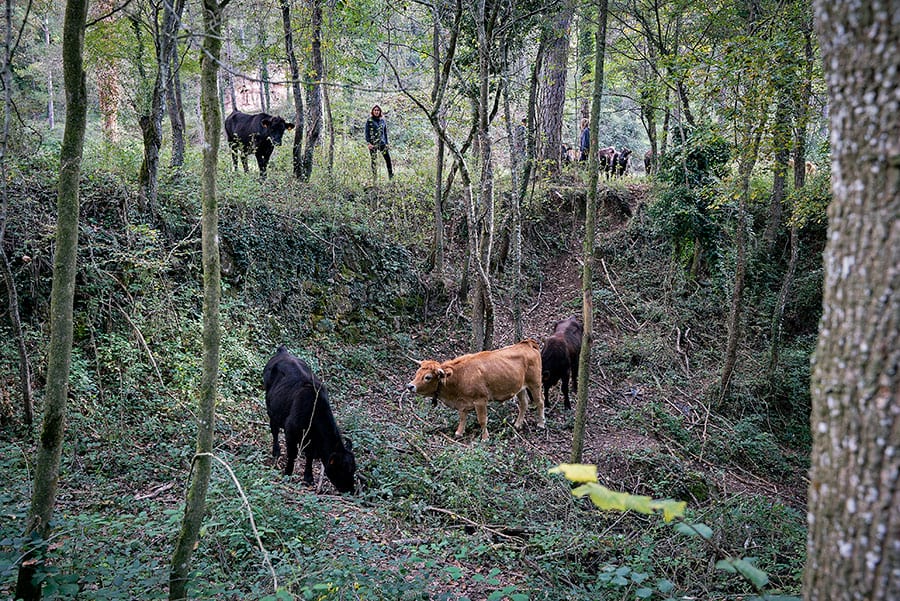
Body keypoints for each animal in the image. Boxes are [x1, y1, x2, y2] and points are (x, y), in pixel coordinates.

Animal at [264, 342, 356, 492]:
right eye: (342, 470)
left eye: (353, 469)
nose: (351, 489)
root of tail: (283, 352)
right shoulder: (290, 432)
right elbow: (292, 453)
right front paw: (288, 473)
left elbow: (309, 456)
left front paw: (308, 477)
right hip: (271, 407)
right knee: (274, 429)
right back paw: (276, 451)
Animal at [406, 338, 544, 440]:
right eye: (417, 373)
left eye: (427, 377)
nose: (410, 386)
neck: (460, 376)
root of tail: (527, 343)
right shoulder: (462, 402)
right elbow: (462, 417)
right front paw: (459, 433)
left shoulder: (480, 400)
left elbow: (482, 420)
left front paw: (485, 438)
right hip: (520, 387)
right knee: (524, 403)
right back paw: (518, 424)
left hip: (535, 383)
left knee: (540, 402)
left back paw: (541, 424)